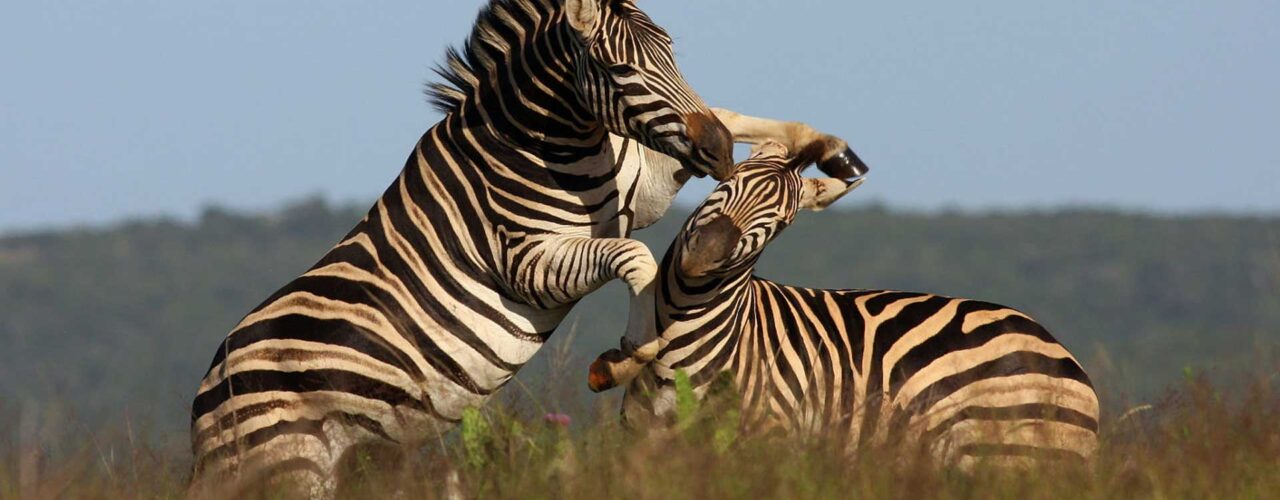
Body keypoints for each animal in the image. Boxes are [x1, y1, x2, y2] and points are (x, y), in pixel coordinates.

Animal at [186, 0, 870, 496]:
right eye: (620, 72)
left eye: (673, 53)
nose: (717, 155)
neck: (550, 141)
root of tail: (207, 388)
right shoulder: (526, 261)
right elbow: (634, 260)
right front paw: (633, 349)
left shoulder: (640, 185)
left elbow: (733, 113)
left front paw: (829, 151)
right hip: (286, 466)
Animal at [588, 143, 1100, 473]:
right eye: (726, 183)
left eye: (781, 221)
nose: (703, 255)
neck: (683, 341)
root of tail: (1063, 354)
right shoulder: (645, 446)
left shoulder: (766, 442)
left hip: (1008, 457)